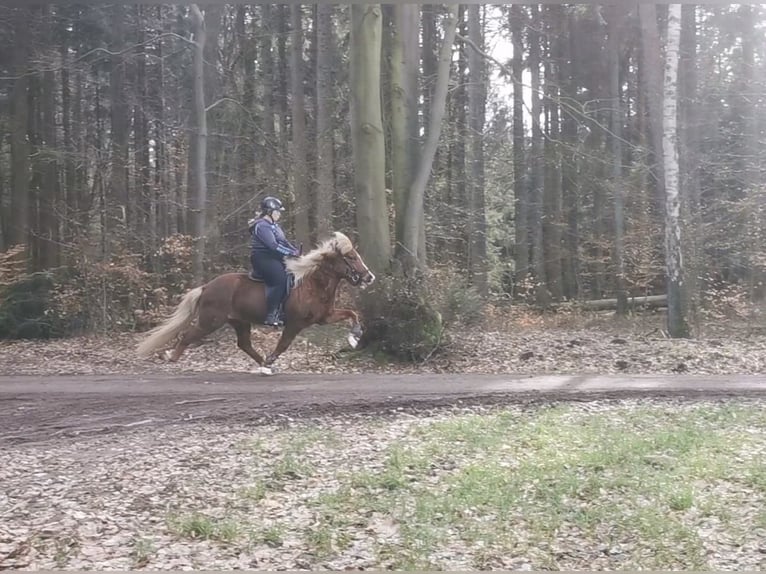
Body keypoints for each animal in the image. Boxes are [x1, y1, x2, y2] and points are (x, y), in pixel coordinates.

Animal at [140, 232, 380, 376]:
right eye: (351, 257)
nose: (370, 277)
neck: (312, 284)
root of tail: (207, 287)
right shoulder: (295, 324)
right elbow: (283, 344)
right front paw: (271, 360)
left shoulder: (324, 317)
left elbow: (351, 313)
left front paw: (355, 336)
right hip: (211, 321)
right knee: (187, 335)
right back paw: (171, 357)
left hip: (239, 322)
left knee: (244, 344)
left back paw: (262, 363)